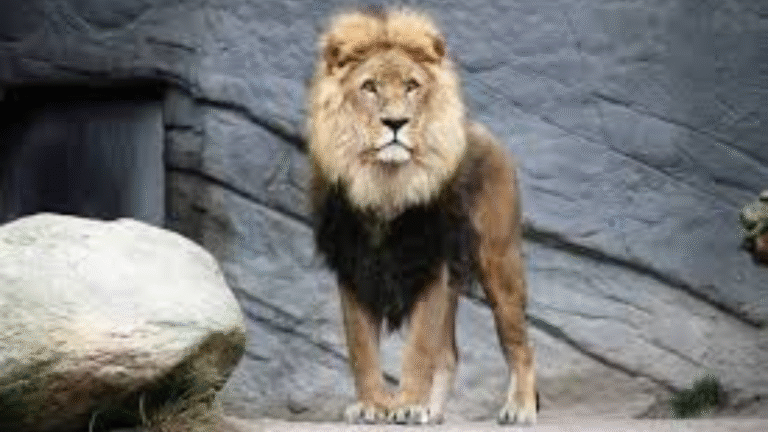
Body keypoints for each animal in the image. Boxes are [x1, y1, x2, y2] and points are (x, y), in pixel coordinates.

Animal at [306, 8, 537, 425]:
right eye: (369, 87)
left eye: (412, 86)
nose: (396, 123)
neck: (385, 184)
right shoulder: (353, 267)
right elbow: (362, 349)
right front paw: (373, 405)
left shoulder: (430, 262)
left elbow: (418, 349)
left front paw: (408, 404)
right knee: (449, 356)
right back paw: (433, 412)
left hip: (500, 263)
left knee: (521, 346)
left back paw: (519, 409)